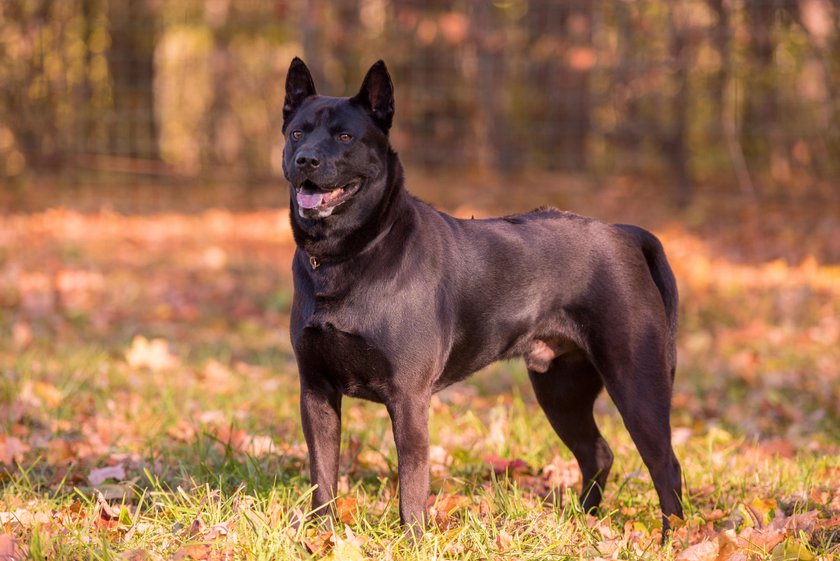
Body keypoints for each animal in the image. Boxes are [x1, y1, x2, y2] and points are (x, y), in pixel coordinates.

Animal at [282, 57, 684, 532]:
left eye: (345, 136)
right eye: (297, 133)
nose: (306, 159)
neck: (348, 254)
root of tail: (624, 233)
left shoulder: (408, 397)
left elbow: (412, 483)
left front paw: (412, 538)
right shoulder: (316, 391)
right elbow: (322, 475)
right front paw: (320, 535)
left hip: (636, 381)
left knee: (665, 464)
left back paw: (672, 536)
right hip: (560, 389)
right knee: (597, 453)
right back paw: (585, 521)